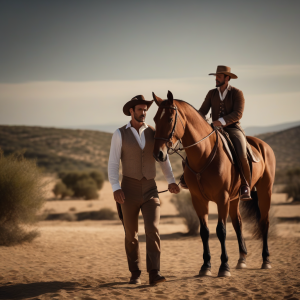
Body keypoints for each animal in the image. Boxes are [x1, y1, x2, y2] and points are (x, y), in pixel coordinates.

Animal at [154, 91, 276, 276]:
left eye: (169, 118)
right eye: (154, 119)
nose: (158, 154)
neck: (204, 155)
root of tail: (263, 145)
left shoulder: (222, 198)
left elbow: (221, 230)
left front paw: (224, 266)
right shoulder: (198, 199)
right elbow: (204, 231)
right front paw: (206, 266)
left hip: (264, 191)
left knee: (264, 222)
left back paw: (266, 260)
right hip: (235, 198)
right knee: (238, 223)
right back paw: (242, 259)